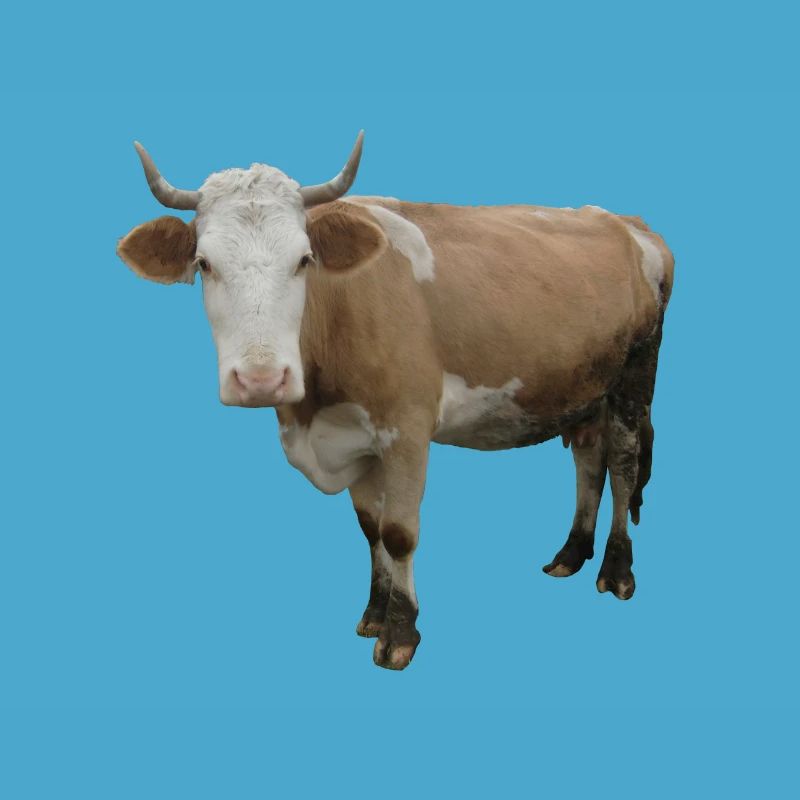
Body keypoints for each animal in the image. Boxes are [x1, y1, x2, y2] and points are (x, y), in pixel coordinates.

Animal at [117, 132, 674, 670]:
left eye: (304, 260)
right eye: (204, 263)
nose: (260, 379)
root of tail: (629, 223)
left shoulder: (407, 428)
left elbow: (400, 533)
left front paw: (400, 635)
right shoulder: (352, 439)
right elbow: (372, 531)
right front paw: (374, 613)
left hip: (635, 377)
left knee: (623, 467)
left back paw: (617, 572)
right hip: (583, 386)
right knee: (588, 461)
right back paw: (571, 554)